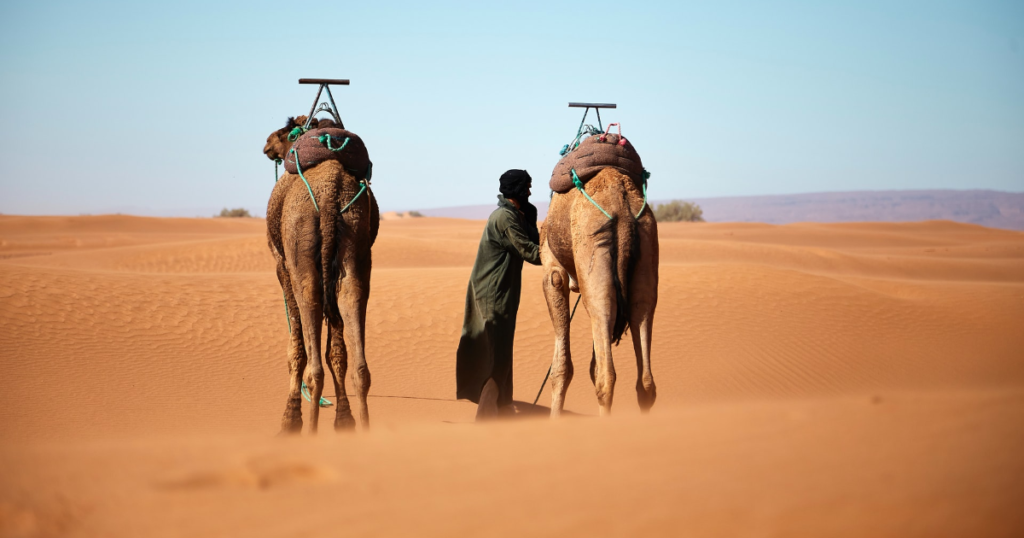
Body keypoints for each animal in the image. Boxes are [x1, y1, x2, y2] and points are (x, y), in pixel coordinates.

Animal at [262, 116, 378, 432]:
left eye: (285, 131)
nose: (267, 144)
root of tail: (329, 196)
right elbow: (337, 351)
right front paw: (345, 421)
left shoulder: (281, 265)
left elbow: (296, 347)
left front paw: (289, 421)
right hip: (356, 242)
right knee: (352, 301)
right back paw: (364, 425)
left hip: (300, 246)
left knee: (310, 305)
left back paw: (309, 428)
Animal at [540, 168, 659, 416]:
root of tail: (622, 208)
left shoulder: (552, 270)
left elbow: (561, 369)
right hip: (646, 246)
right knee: (645, 380)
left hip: (593, 250)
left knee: (606, 377)